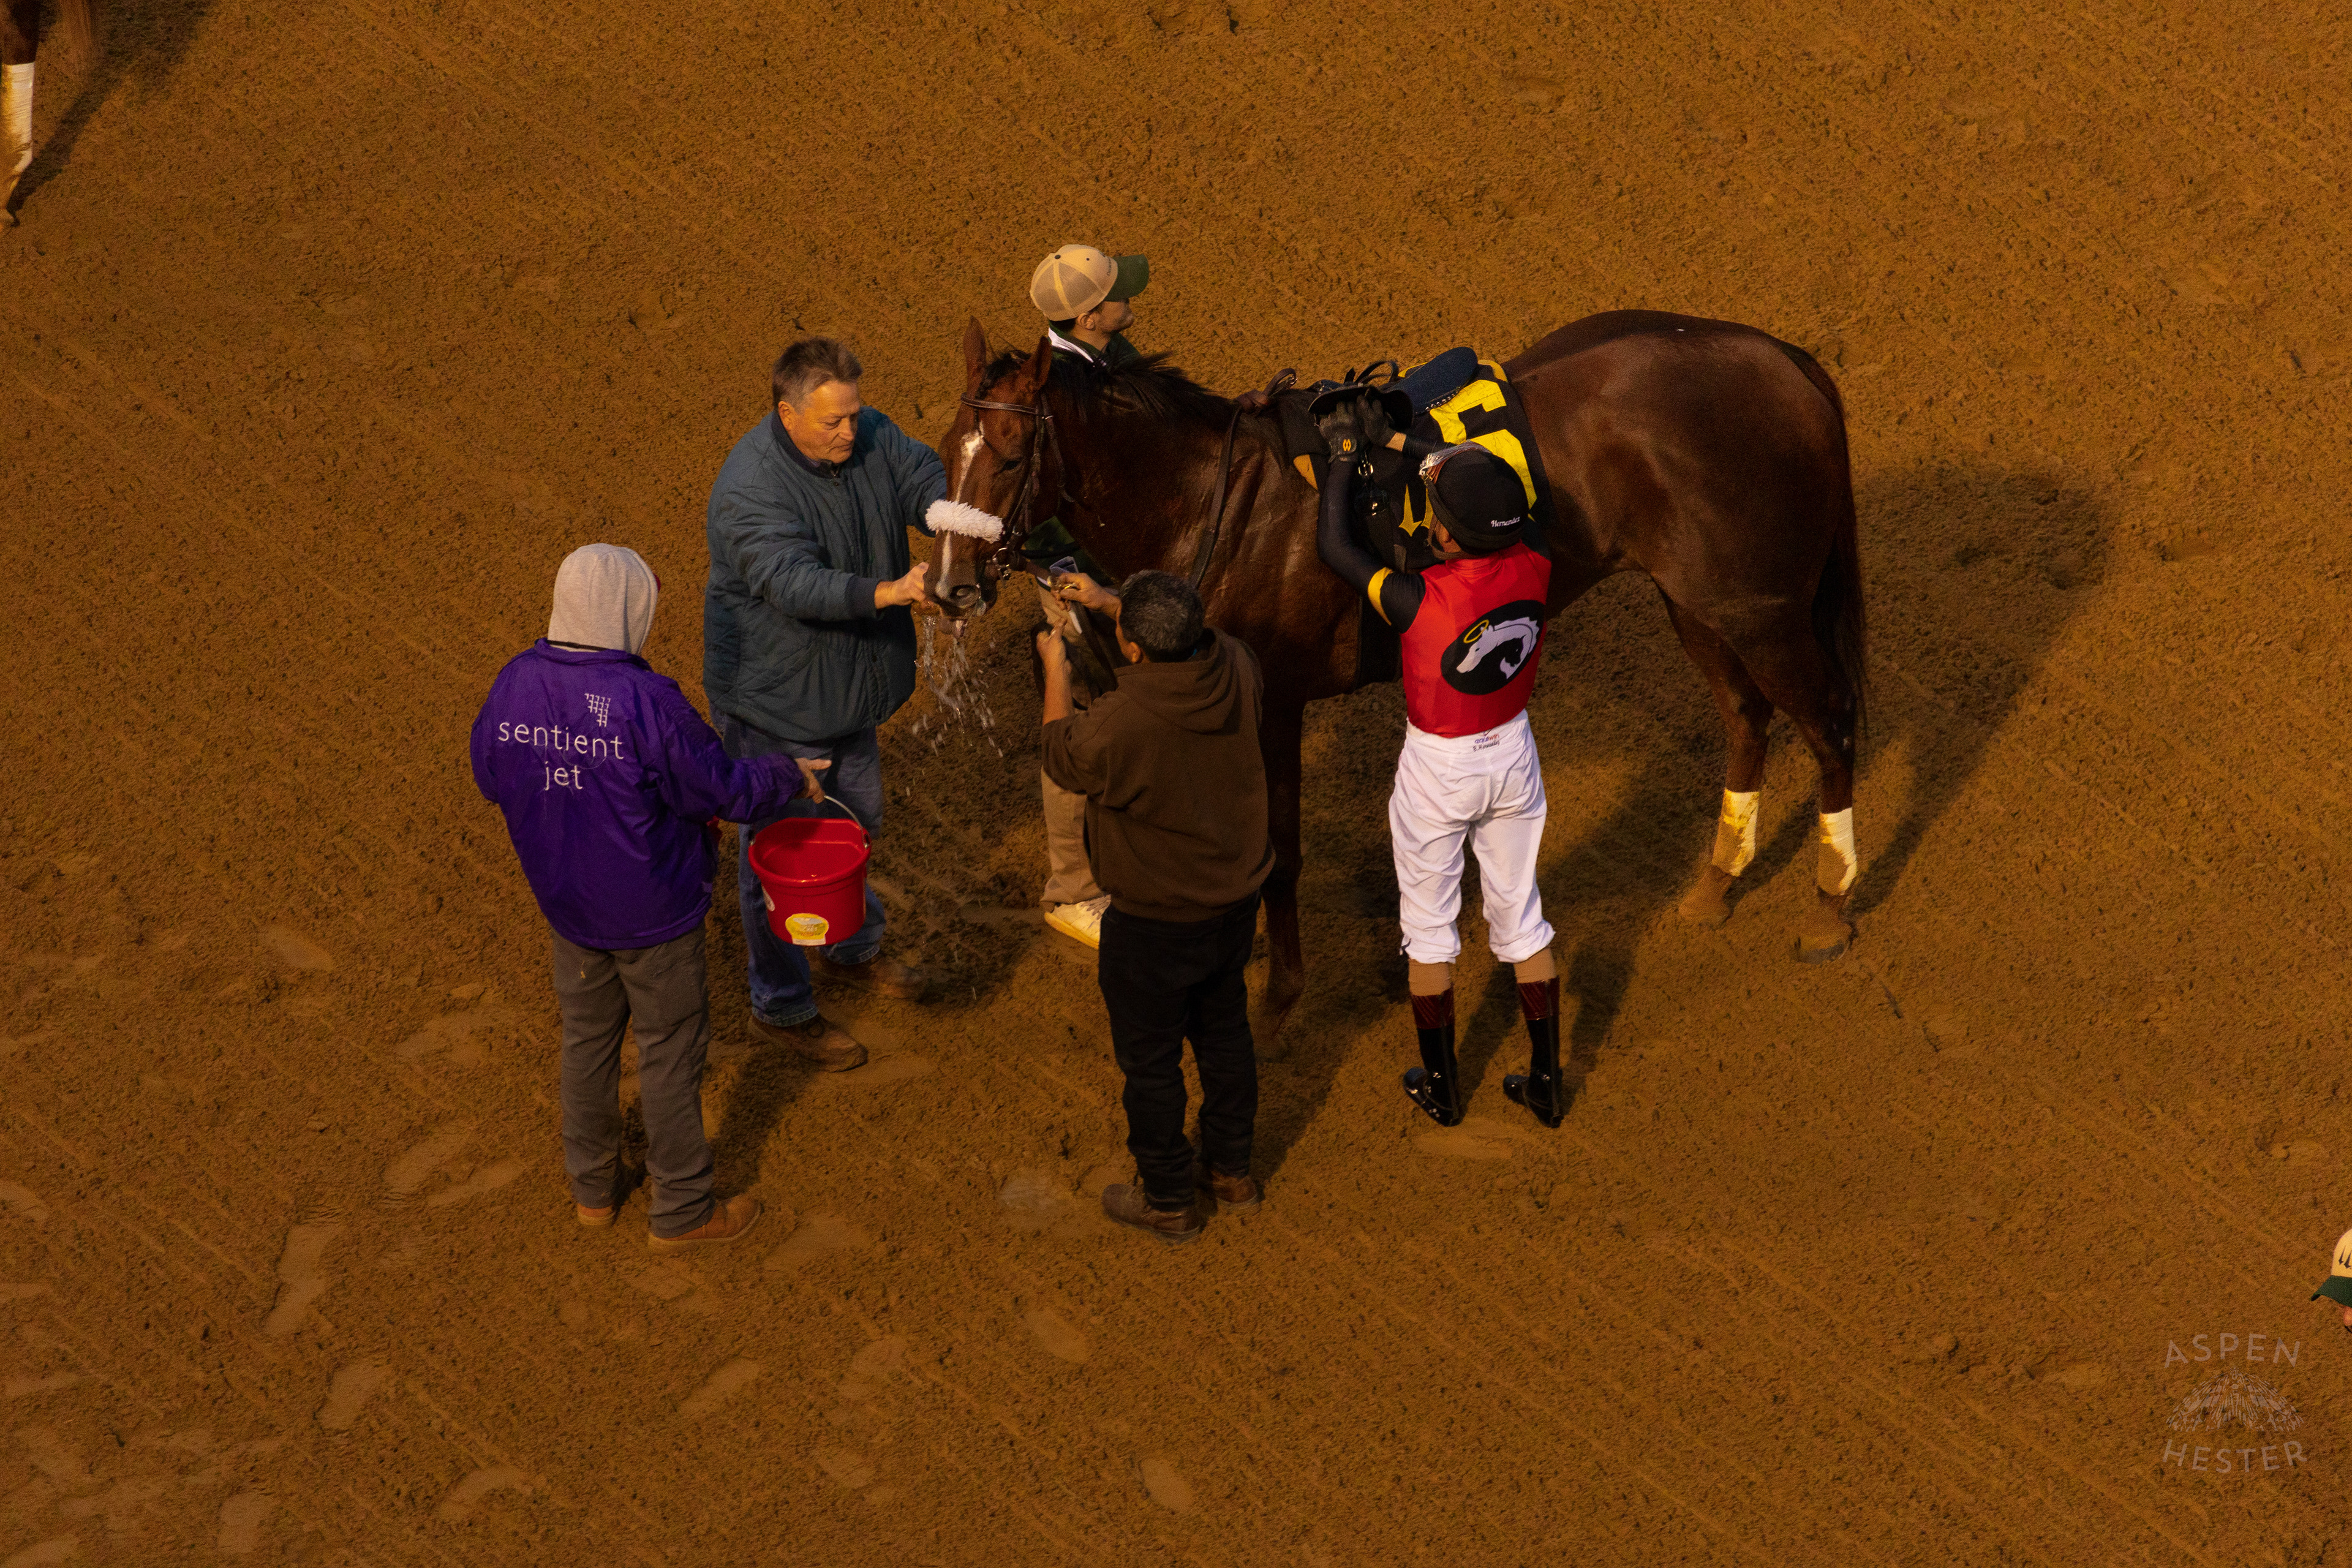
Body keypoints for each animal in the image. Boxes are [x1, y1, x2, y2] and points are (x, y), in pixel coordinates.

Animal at [930, 310, 1865, 1044]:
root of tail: (1785, 359)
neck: (1214, 504)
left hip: (1761, 605)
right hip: (1698, 601)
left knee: (1828, 724)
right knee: (1747, 717)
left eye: (1009, 457)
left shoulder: (1273, 700)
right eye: (945, 447)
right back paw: (1715, 886)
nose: (948, 586)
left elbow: (1279, 851)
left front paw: (1281, 1000)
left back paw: (1828, 907)